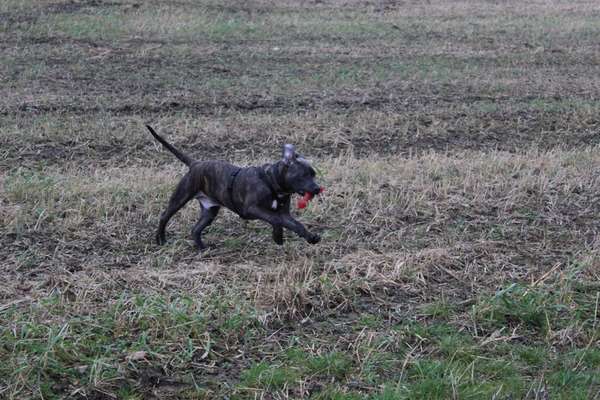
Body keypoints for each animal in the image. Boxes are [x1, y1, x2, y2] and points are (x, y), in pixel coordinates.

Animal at [146, 125, 324, 250]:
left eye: (314, 174)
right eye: (302, 176)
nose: (317, 189)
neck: (272, 182)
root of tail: (195, 164)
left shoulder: (285, 214)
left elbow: (295, 224)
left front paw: (309, 237)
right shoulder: (252, 208)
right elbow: (275, 219)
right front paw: (278, 236)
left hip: (210, 210)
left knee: (195, 229)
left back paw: (202, 248)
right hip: (181, 196)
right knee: (165, 216)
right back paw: (161, 239)